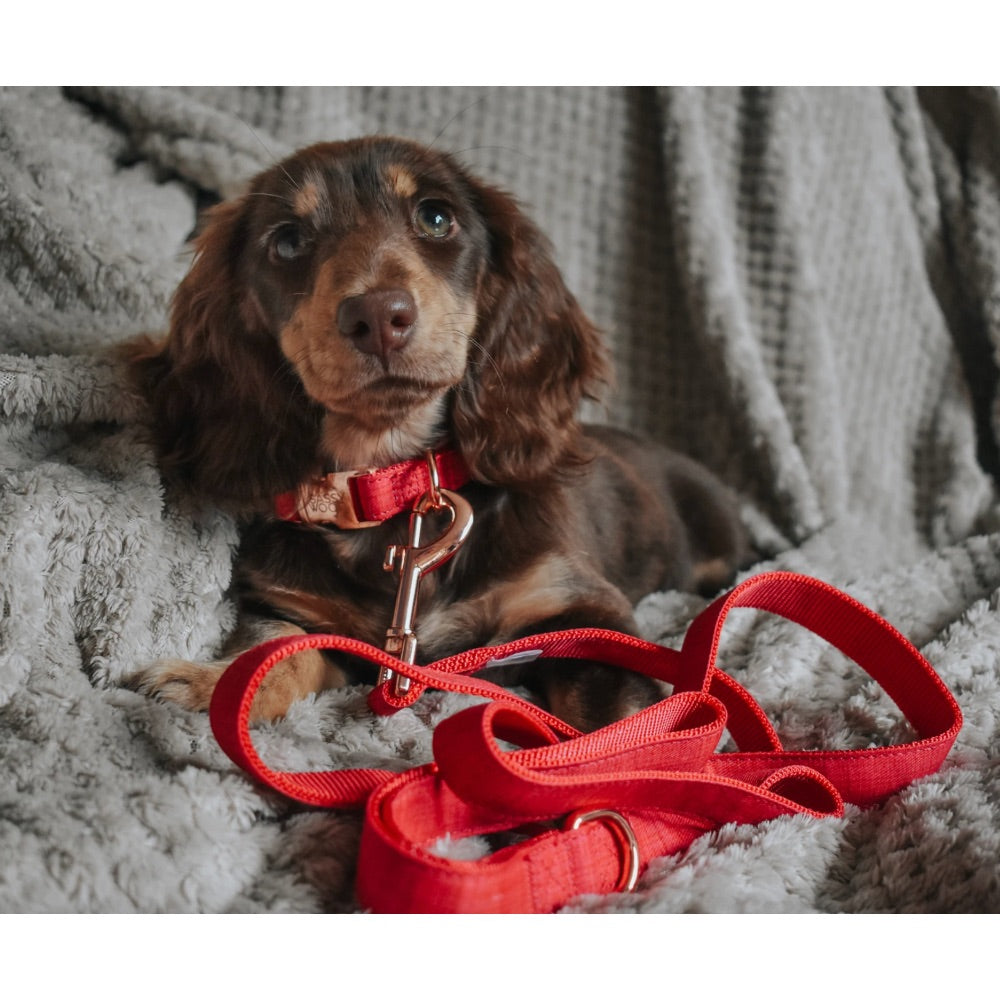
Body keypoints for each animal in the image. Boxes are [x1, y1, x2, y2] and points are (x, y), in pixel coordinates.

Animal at [127, 135, 752, 736]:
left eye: (435, 217)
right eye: (287, 242)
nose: (378, 316)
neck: (391, 482)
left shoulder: (588, 618)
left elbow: (619, 728)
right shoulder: (307, 617)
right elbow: (274, 649)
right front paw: (208, 684)